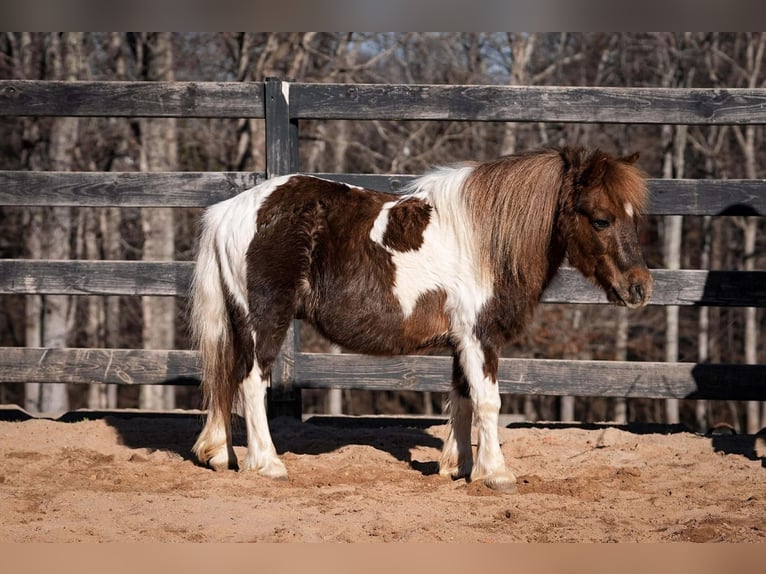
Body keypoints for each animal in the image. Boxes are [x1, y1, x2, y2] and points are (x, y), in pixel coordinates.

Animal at [190, 145, 653, 491]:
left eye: (635, 217)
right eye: (601, 219)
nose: (640, 288)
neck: (485, 241)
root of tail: (229, 211)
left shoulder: (463, 341)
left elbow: (463, 398)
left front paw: (459, 467)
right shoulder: (480, 336)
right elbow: (488, 401)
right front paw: (497, 473)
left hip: (241, 324)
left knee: (227, 380)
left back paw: (222, 455)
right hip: (266, 321)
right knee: (251, 384)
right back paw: (267, 464)